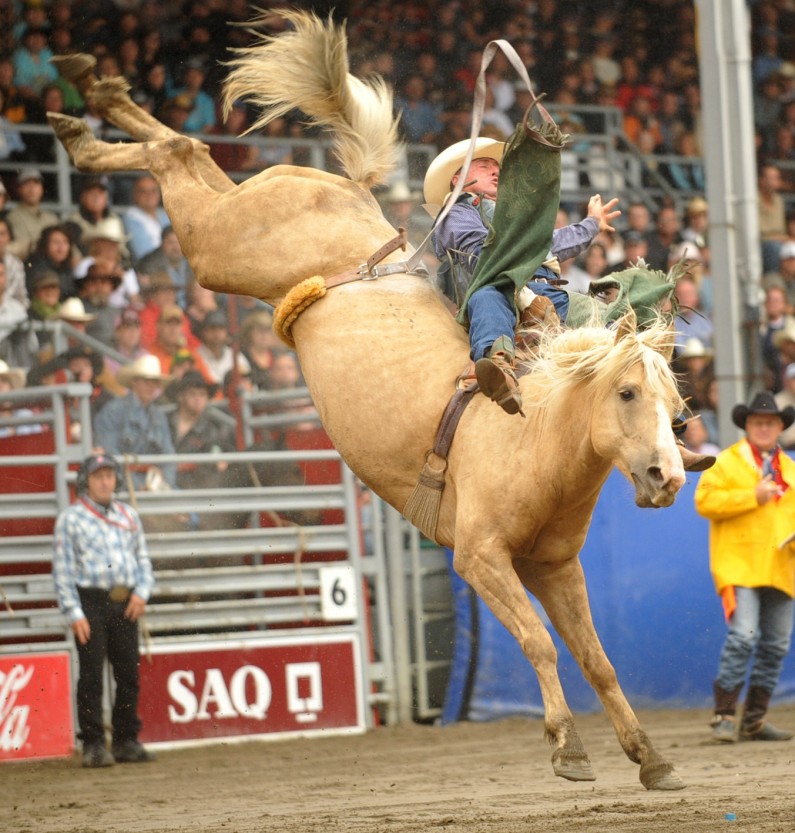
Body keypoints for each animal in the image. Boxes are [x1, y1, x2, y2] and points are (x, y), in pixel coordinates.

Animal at [48, 11, 692, 788]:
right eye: (626, 391)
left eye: (674, 403)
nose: (668, 476)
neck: (533, 432)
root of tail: (352, 199)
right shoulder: (480, 559)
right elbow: (539, 643)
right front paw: (567, 747)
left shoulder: (555, 567)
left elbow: (597, 660)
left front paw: (650, 756)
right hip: (218, 250)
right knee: (178, 153)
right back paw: (84, 114)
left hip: (233, 224)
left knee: (193, 154)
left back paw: (94, 96)